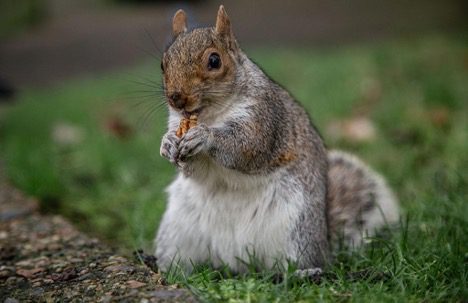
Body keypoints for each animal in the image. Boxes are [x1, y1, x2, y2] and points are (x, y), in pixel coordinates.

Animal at [154, 5, 398, 276]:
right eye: (163, 64)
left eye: (214, 61)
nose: (176, 97)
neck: (210, 114)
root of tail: (237, 263)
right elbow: (192, 170)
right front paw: (167, 144)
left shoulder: (265, 118)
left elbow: (246, 148)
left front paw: (205, 136)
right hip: (177, 229)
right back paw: (168, 269)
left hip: (297, 228)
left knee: (302, 261)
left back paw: (305, 272)